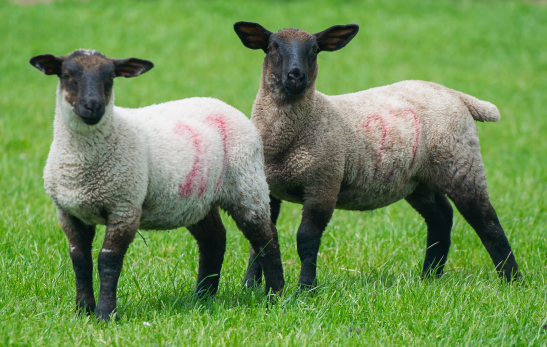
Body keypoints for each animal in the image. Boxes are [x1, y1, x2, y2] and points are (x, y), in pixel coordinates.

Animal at [28, 48, 286, 320]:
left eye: (110, 77)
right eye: (67, 75)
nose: (93, 106)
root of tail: (223, 104)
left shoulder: (125, 207)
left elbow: (108, 260)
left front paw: (105, 314)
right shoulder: (68, 212)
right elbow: (79, 260)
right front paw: (83, 311)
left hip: (247, 184)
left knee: (266, 238)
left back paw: (275, 296)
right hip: (198, 200)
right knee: (214, 240)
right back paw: (202, 298)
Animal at [233, 21, 520, 290]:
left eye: (314, 50)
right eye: (272, 48)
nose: (295, 76)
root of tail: (455, 94)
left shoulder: (323, 184)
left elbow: (306, 240)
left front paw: (305, 288)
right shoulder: (267, 188)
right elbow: (260, 241)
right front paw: (250, 286)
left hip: (461, 163)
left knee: (486, 221)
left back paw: (512, 280)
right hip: (416, 179)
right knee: (441, 217)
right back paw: (429, 276)